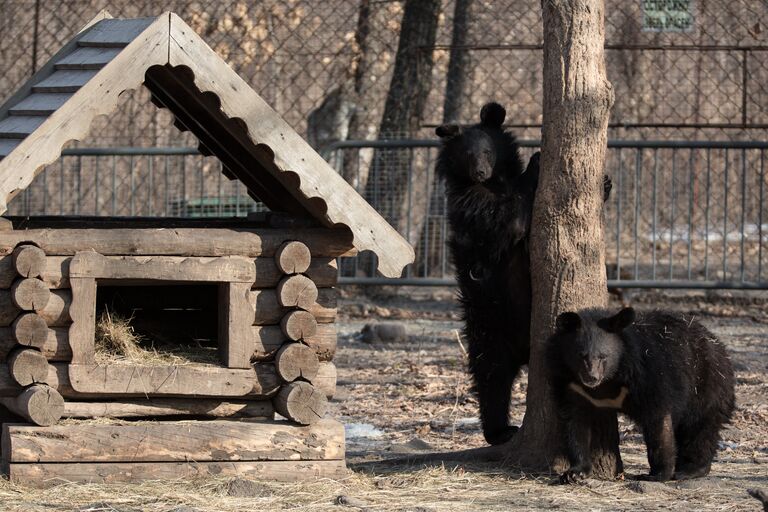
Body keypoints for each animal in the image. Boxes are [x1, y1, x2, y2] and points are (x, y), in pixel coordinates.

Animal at [436, 103, 536, 444]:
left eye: (488, 152)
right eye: (468, 155)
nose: (480, 172)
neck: (493, 183)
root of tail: (523, 352)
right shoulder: (470, 205)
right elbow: (509, 219)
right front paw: (537, 161)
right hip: (489, 326)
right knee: (492, 379)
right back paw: (500, 431)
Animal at [548, 308, 736, 484]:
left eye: (603, 356)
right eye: (581, 356)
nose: (591, 377)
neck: (611, 378)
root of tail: (718, 345)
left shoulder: (649, 374)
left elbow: (658, 422)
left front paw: (657, 474)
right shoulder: (572, 385)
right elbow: (575, 423)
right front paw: (574, 473)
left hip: (705, 385)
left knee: (700, 427)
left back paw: (689, 470)